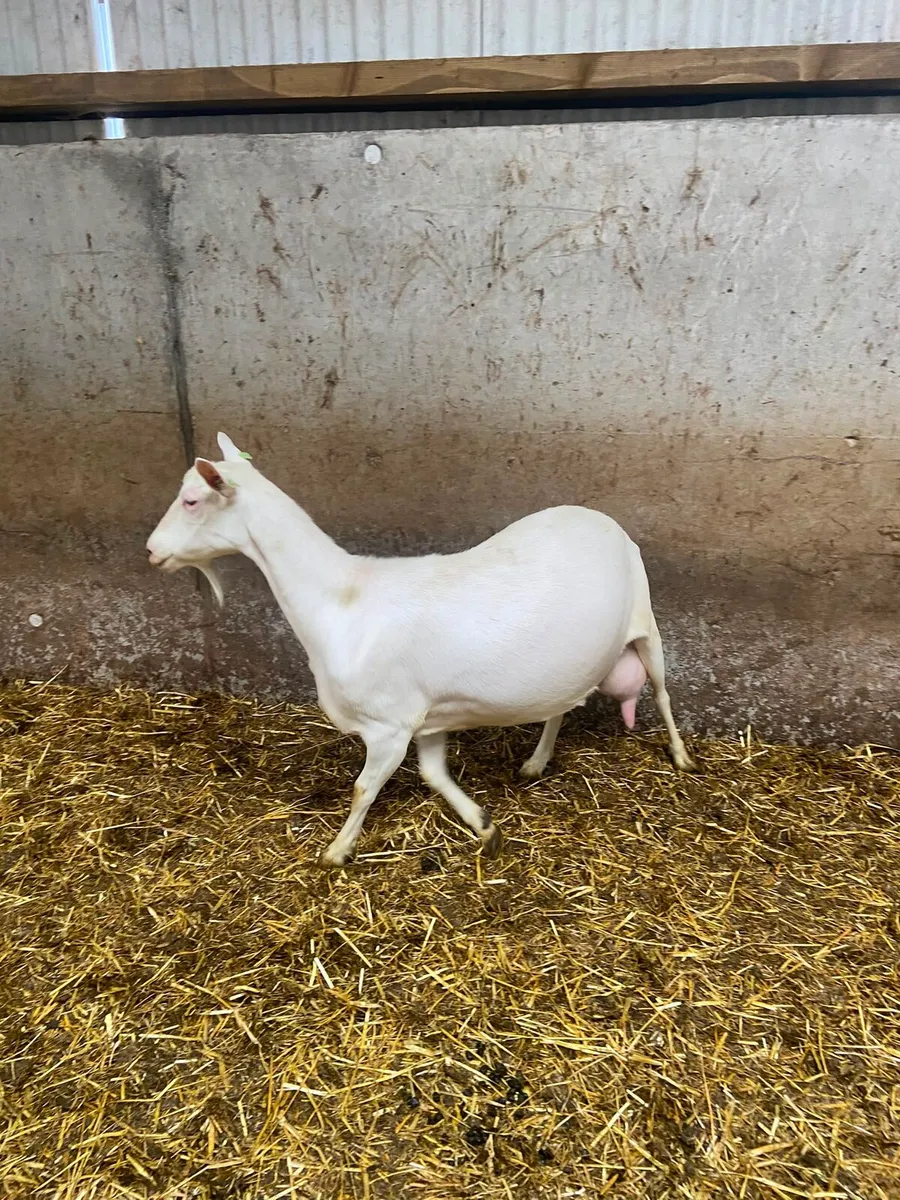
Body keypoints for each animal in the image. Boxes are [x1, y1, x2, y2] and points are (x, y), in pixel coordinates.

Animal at [147, 433, 693, 865]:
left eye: (192, 500)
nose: (151, 550)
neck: (341, 599)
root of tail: (596, 515)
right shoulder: (427, 719)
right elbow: (434, 775)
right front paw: (485, 825)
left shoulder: (389, 727)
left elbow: (363, 789)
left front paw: (337, 851)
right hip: (568, 663)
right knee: (560, 707)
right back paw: (537, 762)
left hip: (646, 622)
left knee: (664, 694)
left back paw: (682, 757)